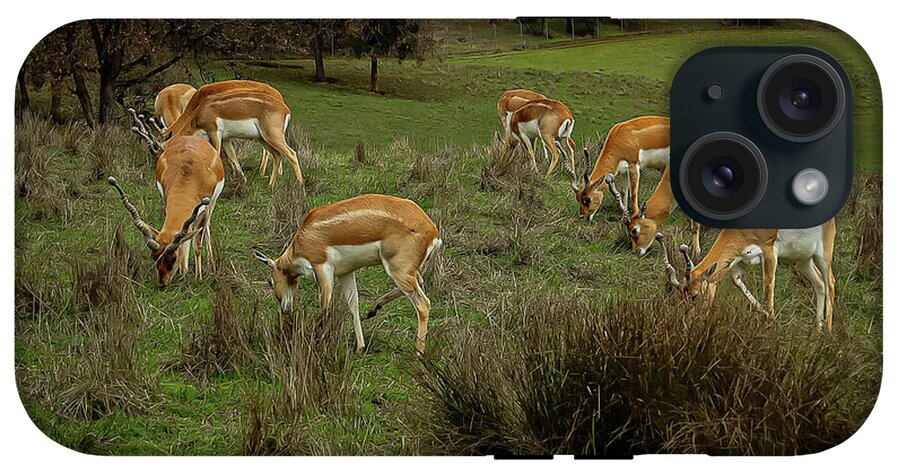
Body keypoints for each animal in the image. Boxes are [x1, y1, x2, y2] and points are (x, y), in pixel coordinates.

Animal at [109, 111, 225, 287]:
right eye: (155, 257)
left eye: (173, 258)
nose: (162, 284)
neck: (188, 175)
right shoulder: (167, 199)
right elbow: (184, 236)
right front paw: (183, 271)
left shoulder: (204, 208)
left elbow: (197, 242)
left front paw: (198, 277)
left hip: (212, 204)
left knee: (205, 228)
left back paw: (210, 261)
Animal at [163, 80, 302, 187]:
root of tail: (285, 108)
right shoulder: (226, 139)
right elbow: (233, 157)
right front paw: (241, 179)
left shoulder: (214, 133)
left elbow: (217, 156)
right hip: (263, 138)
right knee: (277, 154)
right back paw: (271, 184)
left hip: (272, 137)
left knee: (291, 153)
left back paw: (299, 184)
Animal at [253, 194, 443, 355]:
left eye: (270, 281)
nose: (285, 310)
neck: (302, 239)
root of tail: (432, 231)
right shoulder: (346, 272)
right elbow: (353, 304)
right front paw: (360, 347)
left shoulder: (322, 268)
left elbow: (325, 306)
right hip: (406, 271)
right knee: (419, 282)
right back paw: (373, 309)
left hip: (397, 270)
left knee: (423, 303)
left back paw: (418, 353)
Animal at [657, 218, 837, 331]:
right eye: (680, 295)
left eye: (695, 296)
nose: (688, 320)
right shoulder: (740, 261)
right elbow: (738, 283)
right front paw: (767, 316)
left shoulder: (770, 252)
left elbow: (768, 288)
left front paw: (771, 323)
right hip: (802, 260)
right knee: (820, 284)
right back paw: (817, 330)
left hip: (823, 256)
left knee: (831, 283)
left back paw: (827, 332)